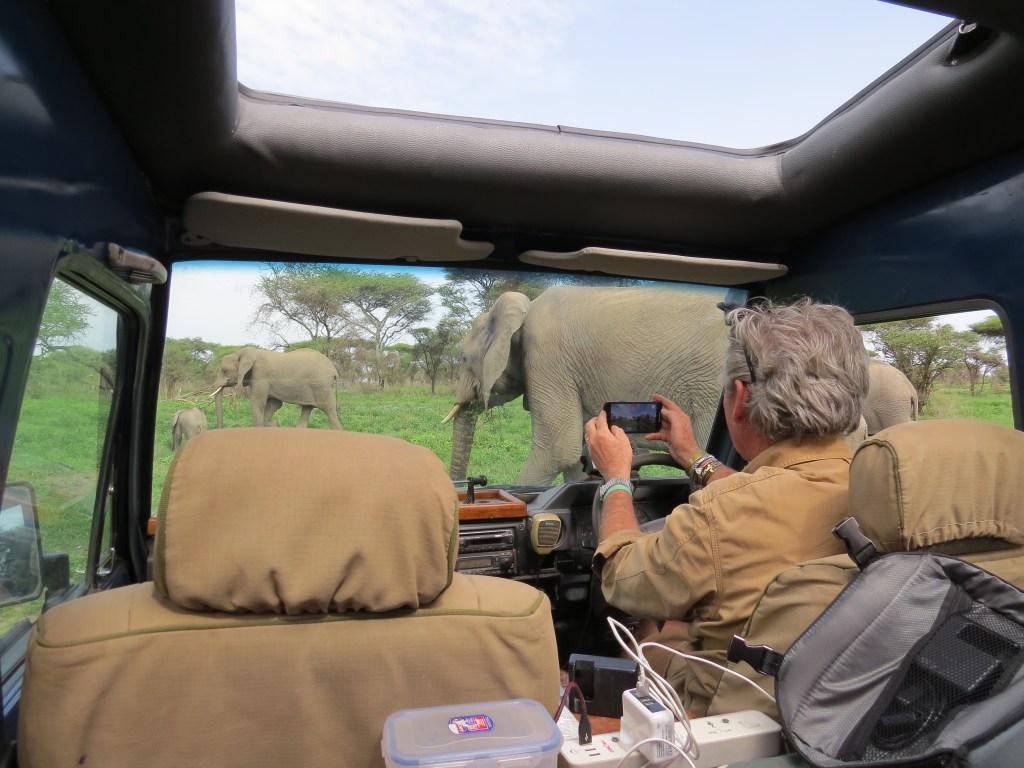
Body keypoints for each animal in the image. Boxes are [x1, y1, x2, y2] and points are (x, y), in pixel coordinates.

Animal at [211, 347, 342, 430]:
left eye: (225, 370)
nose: (219, 428)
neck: (242, 353)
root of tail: (334, 370)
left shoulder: (260, 375)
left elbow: (258, 402)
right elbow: (275, 403)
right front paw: (274, 424)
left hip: (321, 385)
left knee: (329, 410)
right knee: (307, 408)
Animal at [444, 286, 730, 485]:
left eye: (463, 358)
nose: (476, 481)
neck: (523, 308)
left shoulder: (547, 358)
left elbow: (557, 450)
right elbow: (576, 456)